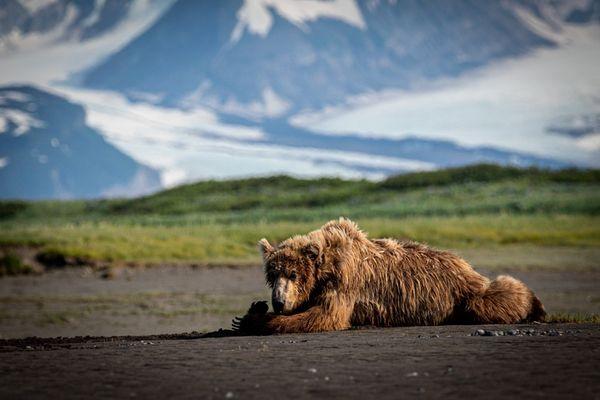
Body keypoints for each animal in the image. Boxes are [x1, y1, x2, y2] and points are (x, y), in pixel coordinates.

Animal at [232, 217, 548, 332]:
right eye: (273, 275)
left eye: (294, 274)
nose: (279, 302)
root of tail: (465, 264)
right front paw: (252, 309)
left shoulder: (346, 281)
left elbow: (324, 316)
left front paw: (253, 320)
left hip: (465, 293)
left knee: (495, 295)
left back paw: (535, 306)